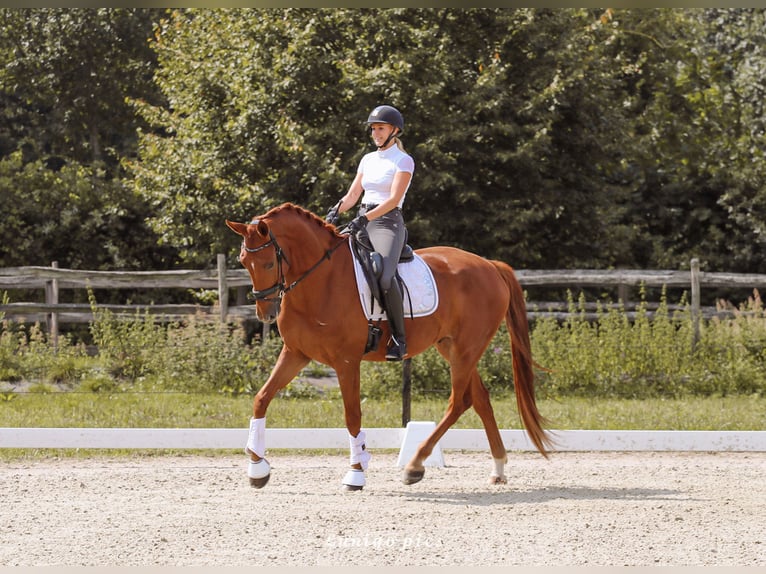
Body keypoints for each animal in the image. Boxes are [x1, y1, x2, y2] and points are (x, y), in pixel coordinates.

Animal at [225, 202, 556, 490]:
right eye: (243, 262)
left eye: (269, 262)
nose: (265, 313)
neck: (320, 280)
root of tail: (489, 264)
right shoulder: (296, 354)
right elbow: (261, 398)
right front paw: (257, 469)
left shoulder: (346, 362)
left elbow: (352, 415)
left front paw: (356, 473)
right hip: (451, 348)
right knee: (480, 399)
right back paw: (497, 469)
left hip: (466, 349)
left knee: (459, 401)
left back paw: (415, 465)